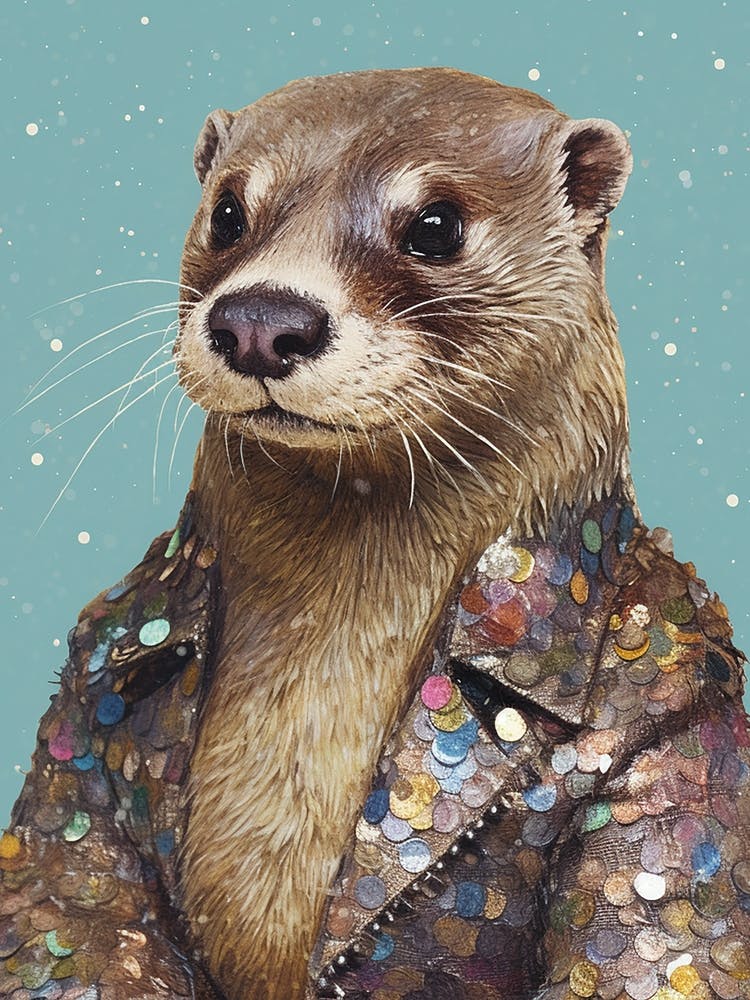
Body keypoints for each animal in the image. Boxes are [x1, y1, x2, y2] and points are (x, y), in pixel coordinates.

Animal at [2, 68, 748, 1000]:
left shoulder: (685, 713)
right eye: (227, 212)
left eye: (435, 226)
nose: (262, 319)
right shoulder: (88, 688)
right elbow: (65, 901)